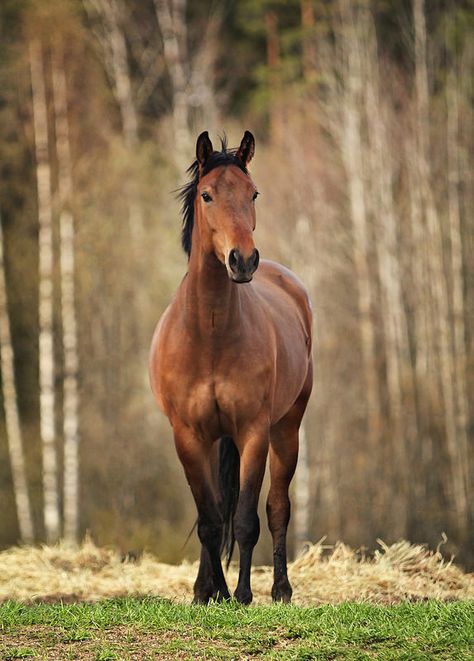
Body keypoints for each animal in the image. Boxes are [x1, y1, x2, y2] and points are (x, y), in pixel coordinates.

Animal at [148, 129, 312, 604]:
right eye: (207, 195)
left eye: (252, 193)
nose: (243, 260)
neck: (211, 335)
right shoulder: (188, 436)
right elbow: (209, 519)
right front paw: (209, 593)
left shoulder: (254, 432)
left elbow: (245, 520)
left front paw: (240, 594)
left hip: (286, 428)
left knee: (277, 507)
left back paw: (280, 590)